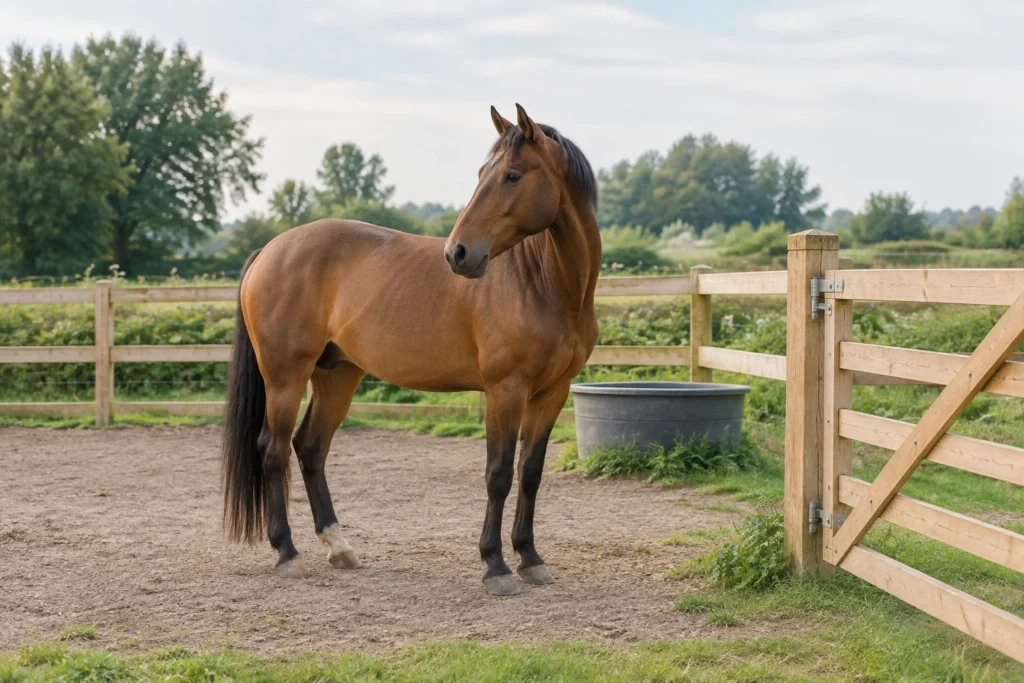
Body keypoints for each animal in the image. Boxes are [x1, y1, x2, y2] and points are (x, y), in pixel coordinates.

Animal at [222, 104, 600, 596]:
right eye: (483, 173)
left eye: (512, 175)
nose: (458, 253)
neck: (545, 284)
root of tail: (270, 250)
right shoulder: (506, 391)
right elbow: (498, 475)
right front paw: (495, 565)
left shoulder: (552, 392)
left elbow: (530, 473)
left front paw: (531, 558)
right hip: (285, 377)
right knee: (273, 449)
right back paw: (287, 553)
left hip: (337, 375)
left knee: (310, 447)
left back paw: (339, 547)